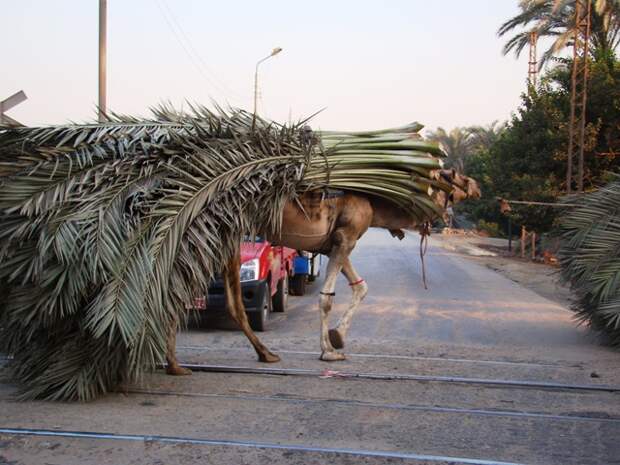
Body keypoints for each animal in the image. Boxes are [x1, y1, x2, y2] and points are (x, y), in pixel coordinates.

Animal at [165, 168, 480, 374]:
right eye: (454, 175)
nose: (477, 186)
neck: (373, 203)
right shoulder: (345, 237)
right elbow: (326, 298)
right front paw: (328, 351)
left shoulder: (335, 244)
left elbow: (361, 287)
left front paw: (338, 337)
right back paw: (176, 365)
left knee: (223, 300)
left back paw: (263, 354)